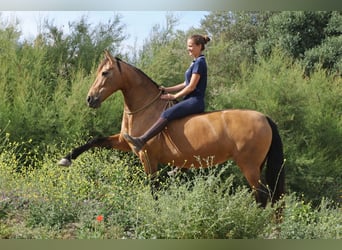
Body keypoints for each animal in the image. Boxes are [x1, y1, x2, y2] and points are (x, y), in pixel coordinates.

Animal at [57, 50, 284, 207]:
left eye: (105, 73)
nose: (90, 99)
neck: (144, 109)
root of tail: (265, 117)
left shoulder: (147, 157)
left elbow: (153, 189)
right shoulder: (122, 142)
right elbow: (95, 140)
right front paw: (66, 159)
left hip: (249, 166)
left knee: (263, 197)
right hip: (256, 166)